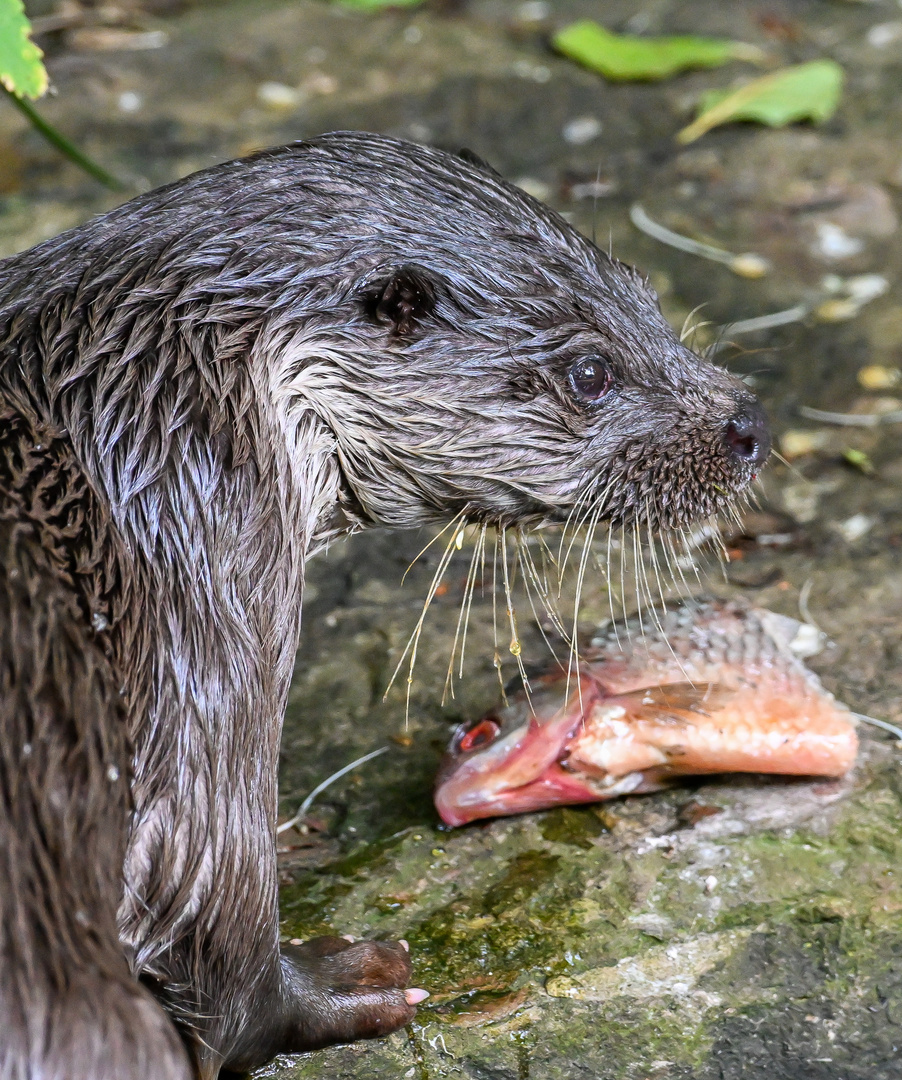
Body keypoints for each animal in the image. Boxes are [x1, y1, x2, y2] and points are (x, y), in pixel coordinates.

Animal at [0, 130, 769, 1075]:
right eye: (590, 372)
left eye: (646, 293)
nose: (748, 424)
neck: (148, 404)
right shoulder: (195, 569)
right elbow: (207, 898)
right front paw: (339, 985)